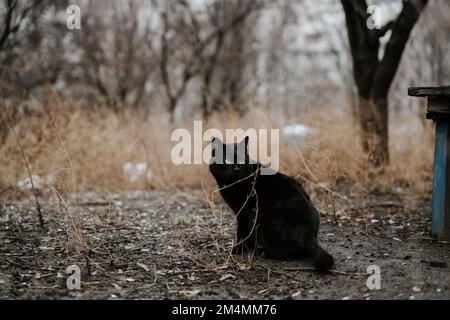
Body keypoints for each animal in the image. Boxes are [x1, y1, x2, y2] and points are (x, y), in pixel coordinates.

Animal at [208, 136, 334, 272]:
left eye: (241, 160)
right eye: (227, 160)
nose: (236, 168)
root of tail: (311, 237)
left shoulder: (243, 213)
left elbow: (242, 232)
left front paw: (239, 249)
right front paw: (247, 248)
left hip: (264, 220)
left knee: (287, 252)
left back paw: (262, 252)